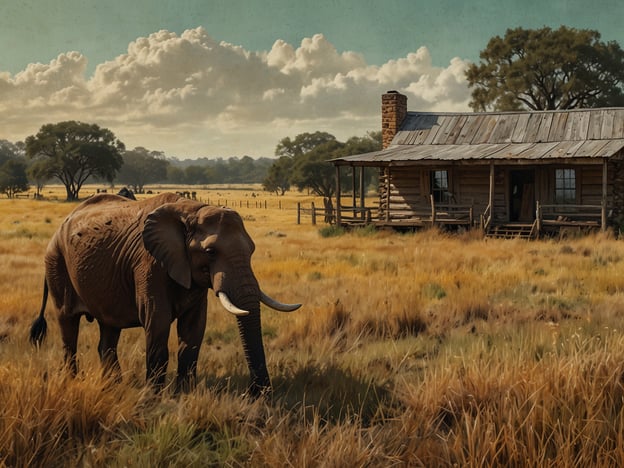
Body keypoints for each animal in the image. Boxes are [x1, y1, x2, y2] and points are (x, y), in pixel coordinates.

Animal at [28, 193, 300, 394]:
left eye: (252, 250)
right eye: (210, 252)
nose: (257, 392)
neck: (191, 211)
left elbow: (193, 329)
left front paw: (184, 394)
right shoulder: (149, 264)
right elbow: (157, 320)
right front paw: (154, 397)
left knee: (108, 332)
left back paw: (114, 387)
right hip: (56, 264)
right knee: (68, 326)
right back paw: (73, 381)